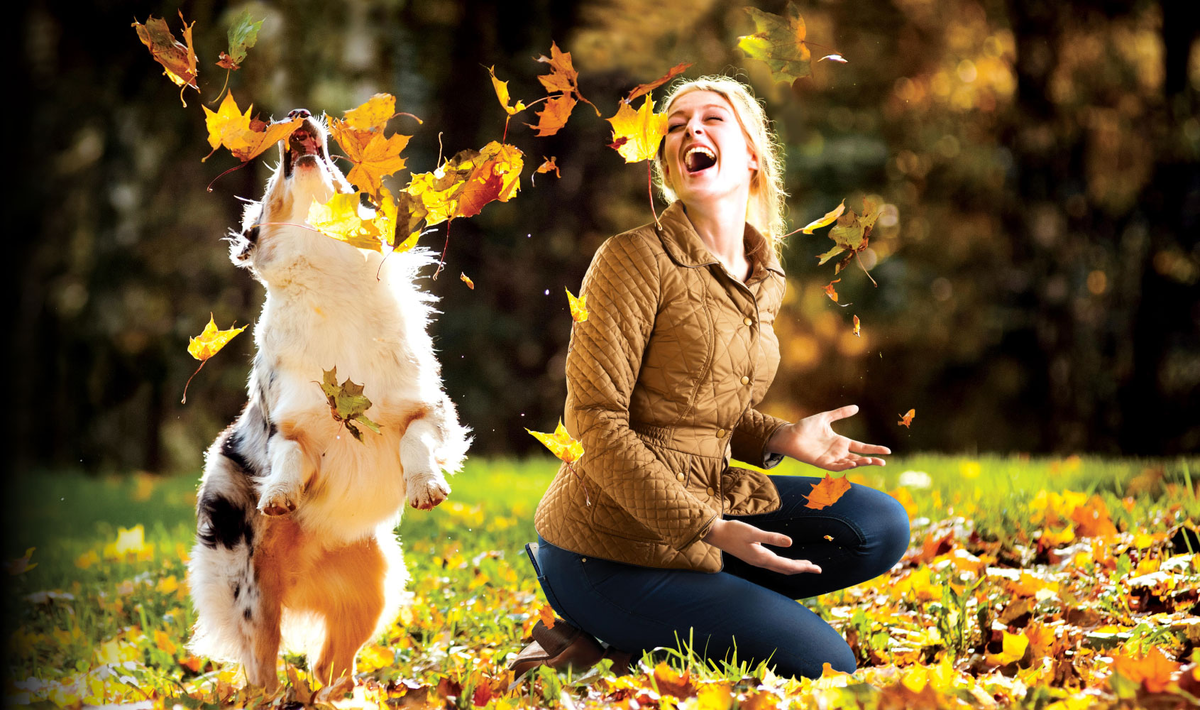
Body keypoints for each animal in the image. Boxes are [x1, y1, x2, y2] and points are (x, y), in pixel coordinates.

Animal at [186, 107, 468, 690]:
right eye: (274, 178)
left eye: (345, 179)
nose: (296, 115)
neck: (330, 272)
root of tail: (300, 585)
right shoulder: (288, 427)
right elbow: (289, 457)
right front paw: (280, 494)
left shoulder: (431, 409)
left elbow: (414, 442)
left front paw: (425, 485)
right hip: (252, 595)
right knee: (263, 668)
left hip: (374, 588)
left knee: (330, 668)